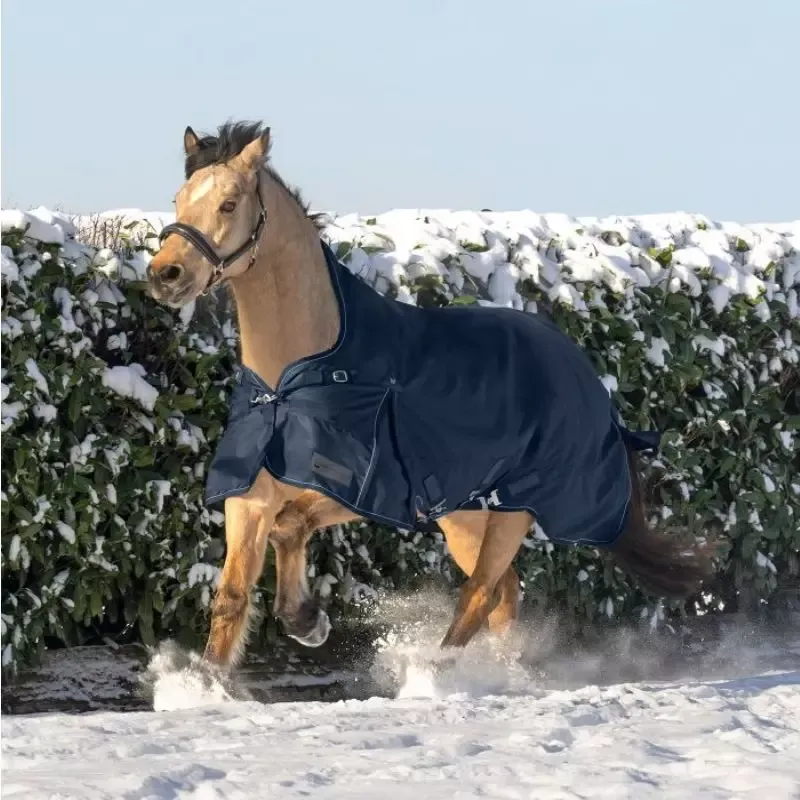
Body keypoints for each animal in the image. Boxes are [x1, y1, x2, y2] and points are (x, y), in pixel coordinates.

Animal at [146, 120, 716, 670]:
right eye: (178, 199)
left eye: (228, 203)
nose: (165, 274)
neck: (290, 383)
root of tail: (584, 373)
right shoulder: (250, 495)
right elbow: (232, 595)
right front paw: (206, 684)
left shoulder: (364, 492)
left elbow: (292, 526)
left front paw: (308, 621)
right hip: (463, 515)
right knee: (504, 594)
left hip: (515, 509)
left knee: (480, 593)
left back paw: (436, 673)